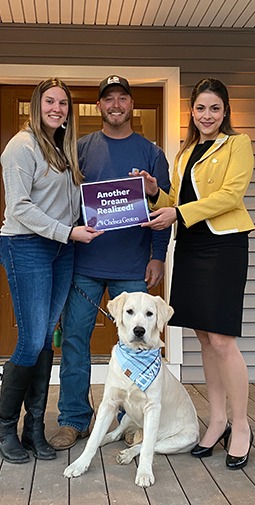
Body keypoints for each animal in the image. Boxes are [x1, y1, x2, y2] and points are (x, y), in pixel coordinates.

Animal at [63, 292, 199, 484]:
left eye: (150, 313)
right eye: (129, 311)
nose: (139, 330)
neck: (135, 357)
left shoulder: (153, 409)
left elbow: (147, 448)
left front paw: (144, 473)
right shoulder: (109, 403)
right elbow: (94, 439)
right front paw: (79, 464)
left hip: (179, 441)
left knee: (146, 445)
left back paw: (127, 454)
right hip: (128, 415)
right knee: (117, 433)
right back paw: (105, 439)